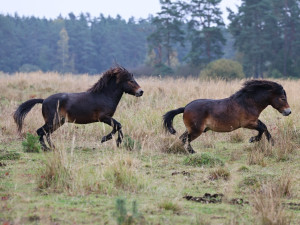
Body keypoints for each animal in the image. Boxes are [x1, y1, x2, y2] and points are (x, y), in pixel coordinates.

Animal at [12, 66, 142, 150]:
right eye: (130, 81)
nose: (141, 91)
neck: (104, 95)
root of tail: (44, 100)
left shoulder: (107, 118)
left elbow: (118, 126)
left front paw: (115, 142)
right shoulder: (103, 117)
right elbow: (118, 125)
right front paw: (106, 139)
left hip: (58, 122)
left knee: (46, 133)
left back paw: (53, 147)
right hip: (52, 121)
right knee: (40, 131)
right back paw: (47, 148)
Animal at [163, 80, 292, 154]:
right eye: (282, 98)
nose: (288, 112)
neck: (248, 102)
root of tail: (185, 108)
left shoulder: (254, 121)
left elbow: (264, 127)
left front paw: (271, 142)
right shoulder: (248, 123)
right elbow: (262, 128)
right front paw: (253, 139)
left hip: (192, 129)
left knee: (182, 138)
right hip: (196, 130)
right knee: (186, 139)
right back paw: (192, 152)